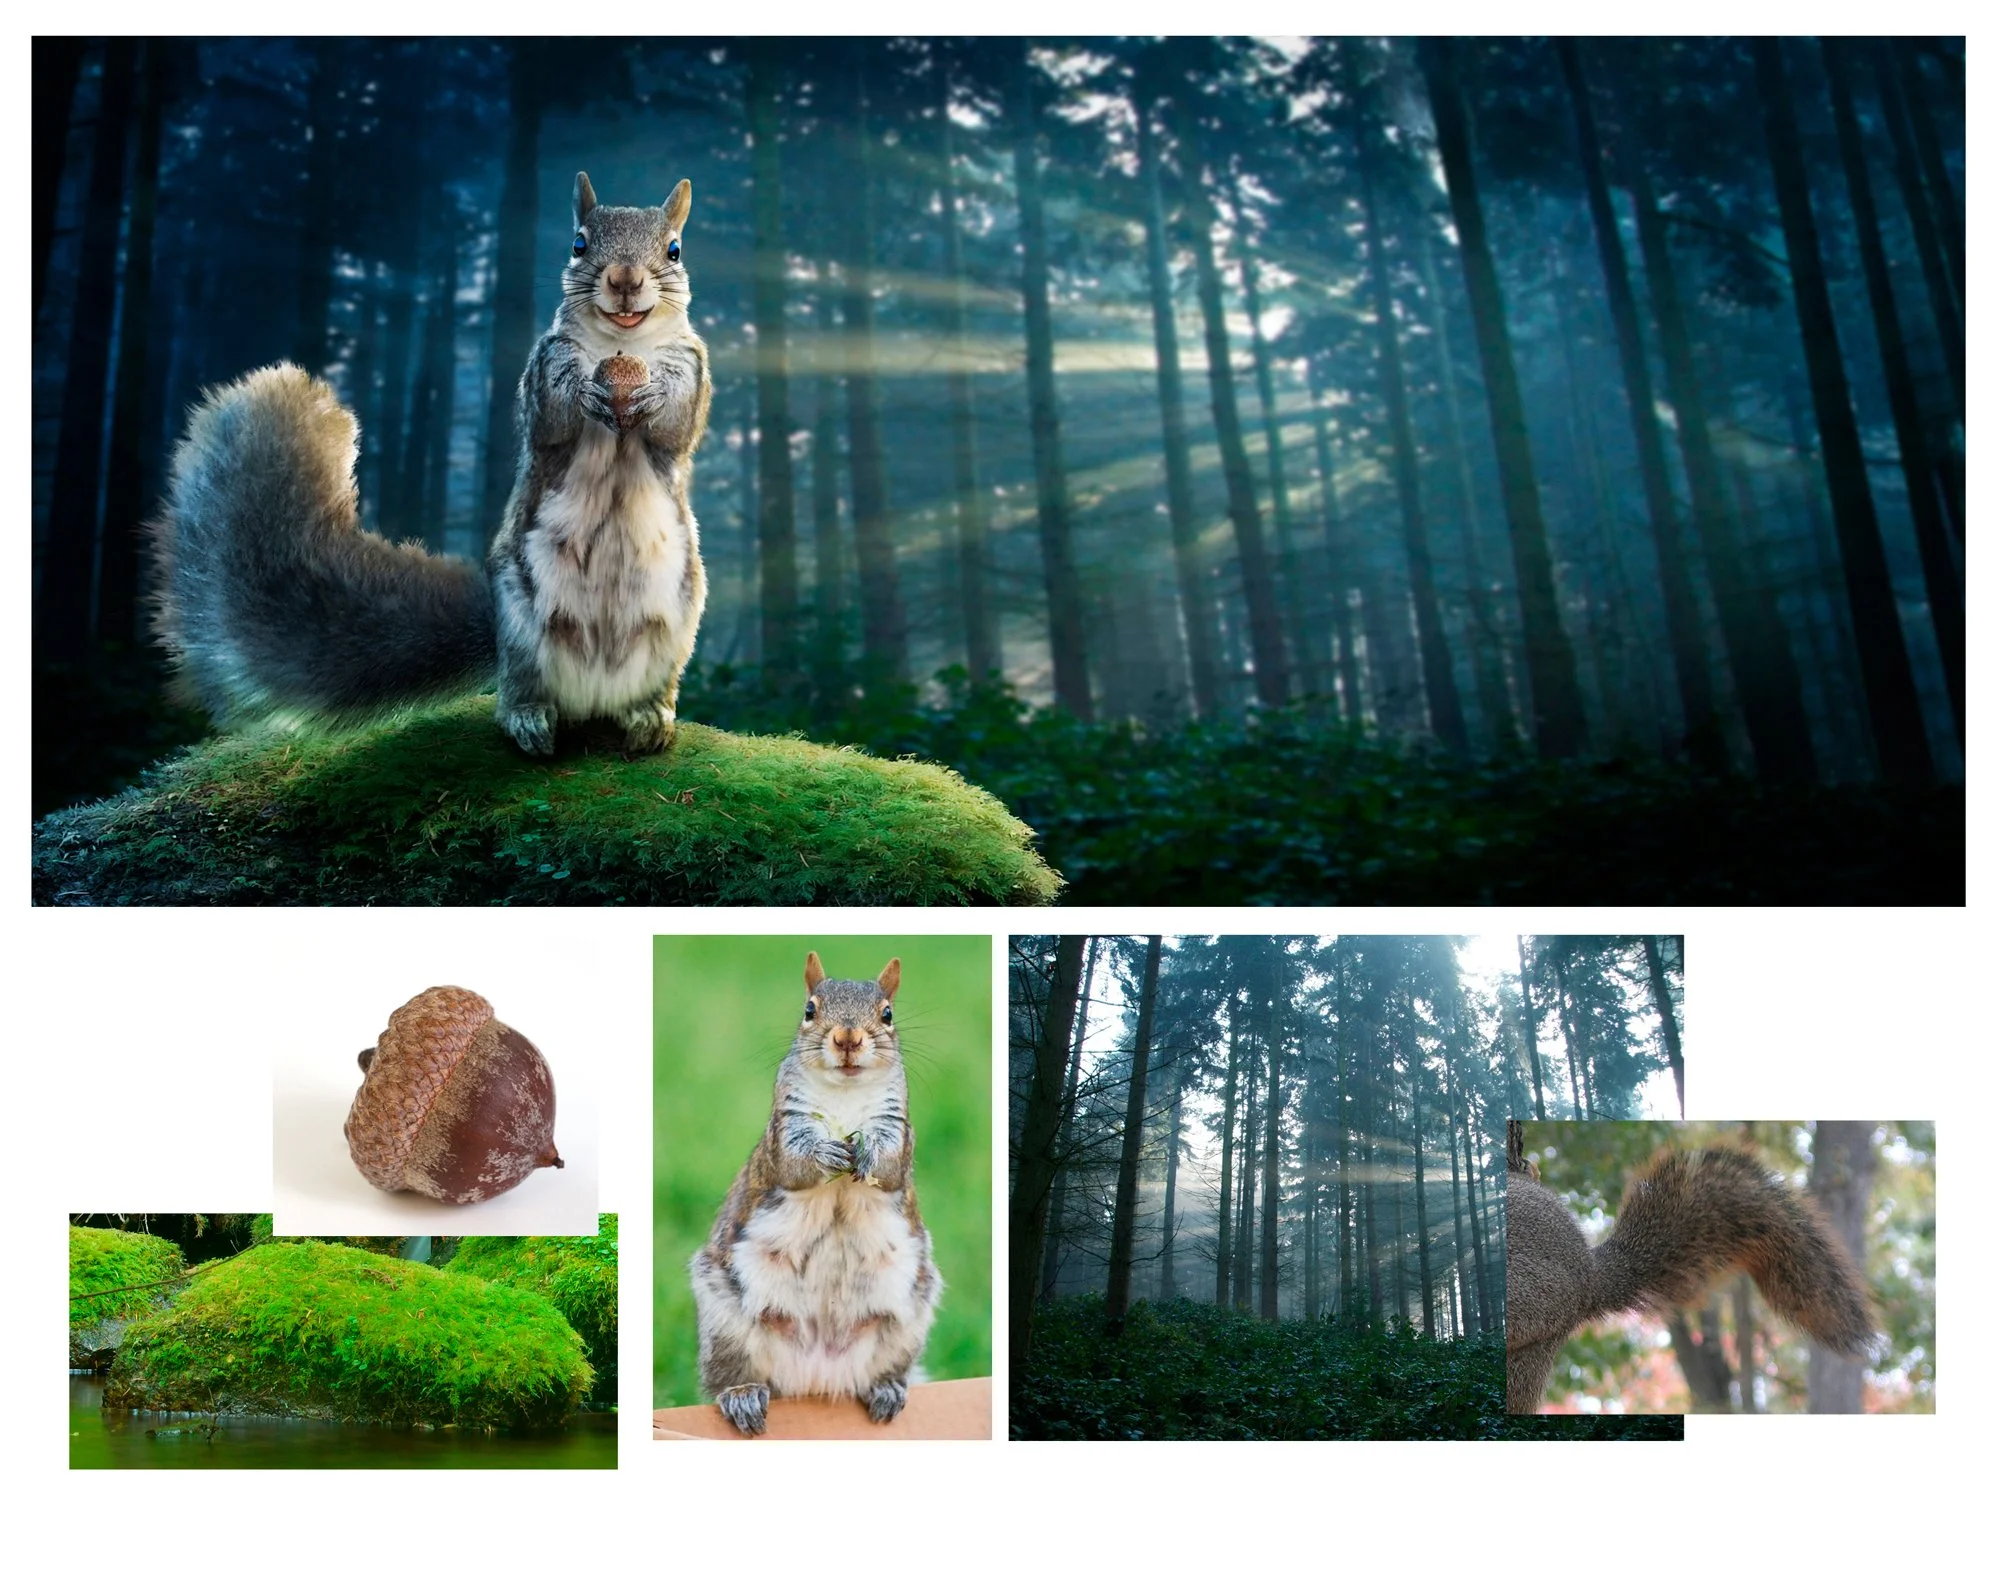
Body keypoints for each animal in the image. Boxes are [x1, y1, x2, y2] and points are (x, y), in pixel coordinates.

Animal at [146, 172, 711, 757]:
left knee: (647, 688)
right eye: (578, 244)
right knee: (522, 687)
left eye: (674, 249)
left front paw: (652, 396)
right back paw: (527, 719)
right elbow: (553, 414)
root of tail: (594, 693)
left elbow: (675, 422)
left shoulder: (692, 365)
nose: (624, 279)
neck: (622, 344)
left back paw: (648, 715)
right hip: (523, 626)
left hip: (676, 626)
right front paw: (583, 392)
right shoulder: (545, 363)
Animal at [688, 953, 941, 1436]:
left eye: (887, 1014)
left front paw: (865, 1153)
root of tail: (818, 1378)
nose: (847, 1038)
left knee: (887, 1368)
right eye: (809, 1010)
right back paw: (742, 1395)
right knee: (729, 1376)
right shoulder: (785, 1128)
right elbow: (795, 1163)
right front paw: (825, 1152)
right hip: (725, 1323)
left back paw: (885, 1388)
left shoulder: (897, 1130)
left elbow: (887, 1167)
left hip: (905, 1323)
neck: (844, 1097)